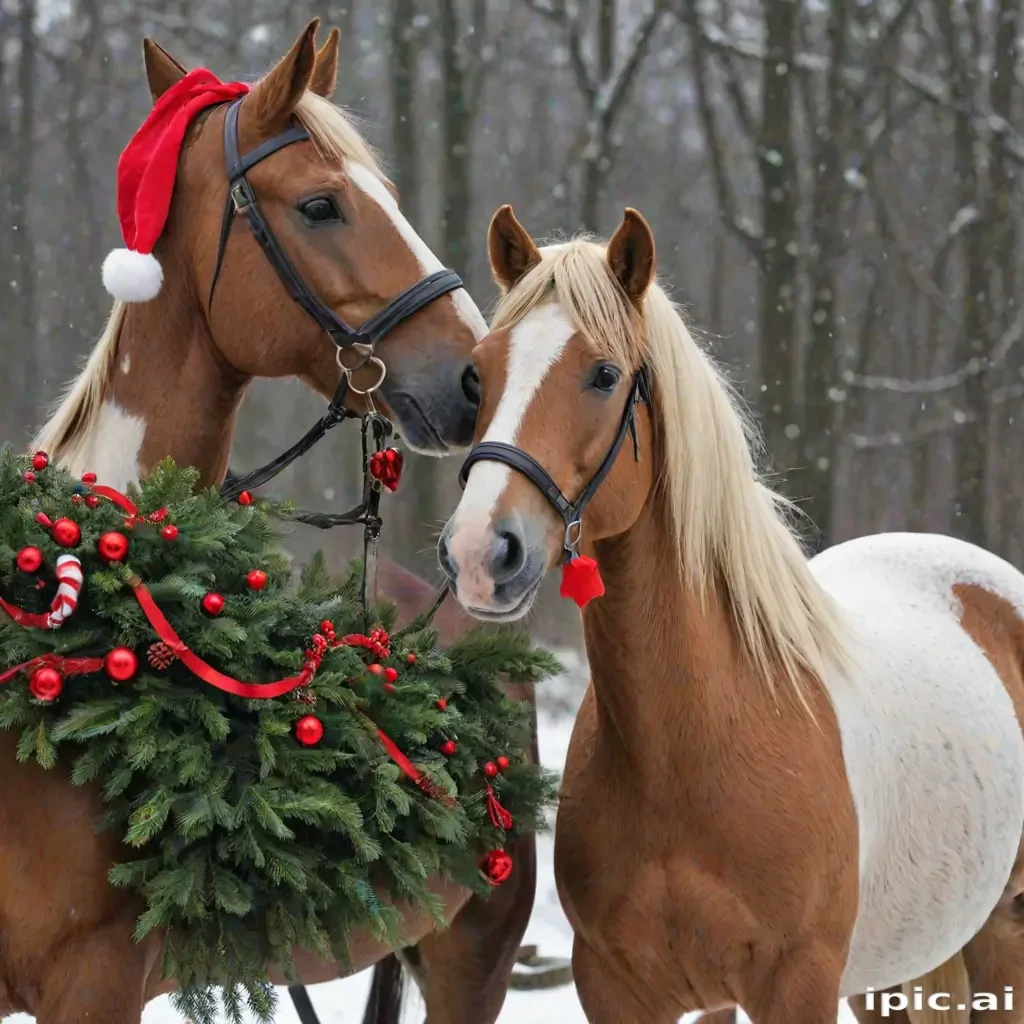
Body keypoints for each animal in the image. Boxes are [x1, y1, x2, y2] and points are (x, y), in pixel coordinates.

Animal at [436, 202, 1024, 1023]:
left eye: (604, 374)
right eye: (478, 373)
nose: (479, 552)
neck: (701, 734)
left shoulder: (798, 981)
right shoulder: (618, 986)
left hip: (1000, 936)